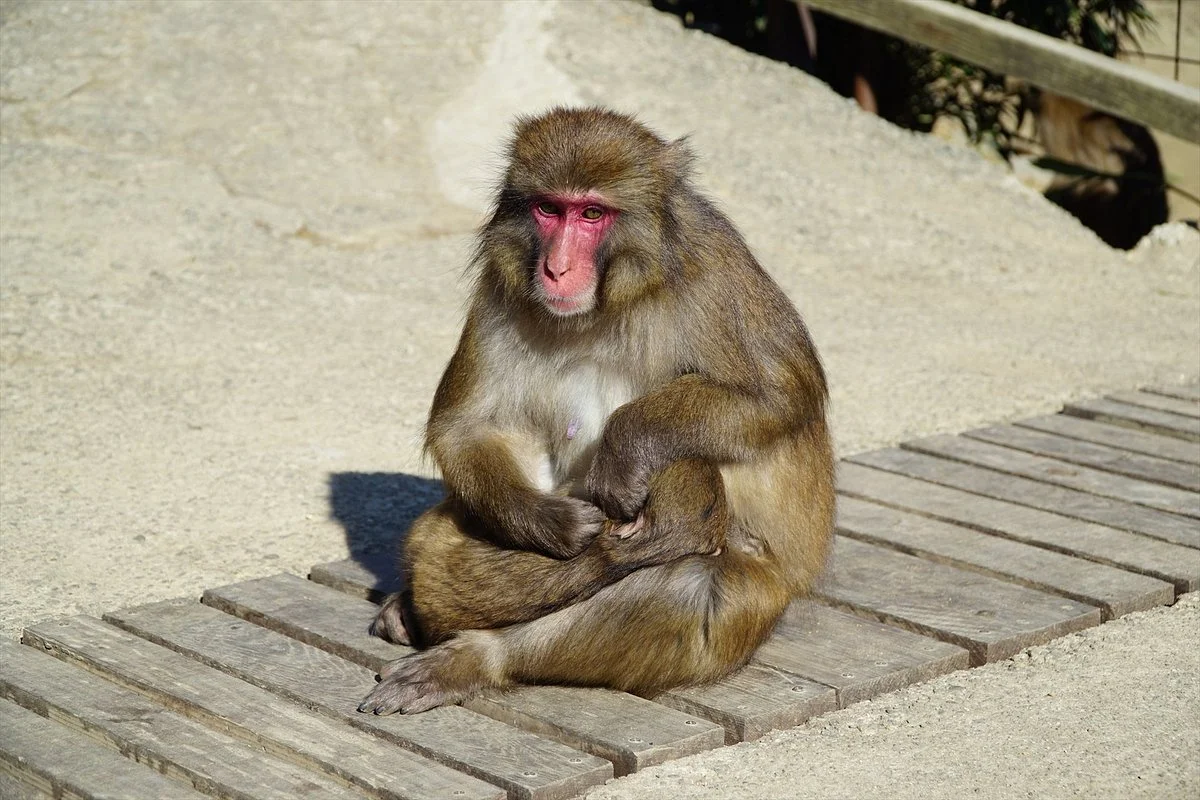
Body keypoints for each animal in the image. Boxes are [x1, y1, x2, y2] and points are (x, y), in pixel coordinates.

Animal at [358, 107, 835, 715]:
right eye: (548, 208)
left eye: (591, 213)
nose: (557, 269)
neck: (611, 300)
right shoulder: (503, 281)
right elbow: (467, 428)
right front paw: (552, 524)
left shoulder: (714, 268)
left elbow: (780, 396)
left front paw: (626, 448)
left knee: (689, 588)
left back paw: (478, 658)